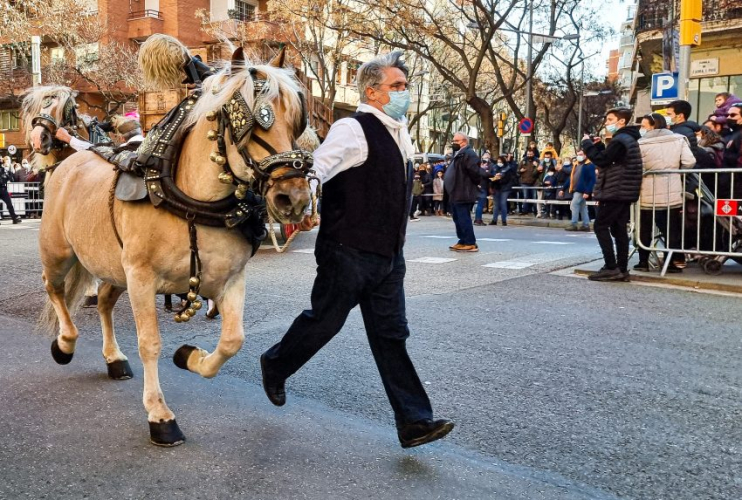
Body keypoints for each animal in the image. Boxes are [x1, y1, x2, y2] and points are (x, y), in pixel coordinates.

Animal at [26, 52, 310, 448]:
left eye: (296, 118)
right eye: (255, 119)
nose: (293, 198)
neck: (192, 201)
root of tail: (67, 164)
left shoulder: (230, 279)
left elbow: (232, 340)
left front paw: (190, 357)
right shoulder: (141, 278)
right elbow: (150, 343)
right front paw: (159, 414)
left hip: (114, 267)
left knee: (104, 301)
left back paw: (114, 358)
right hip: (59, 253)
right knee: (54, 289)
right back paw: (65, 342)